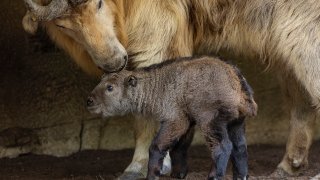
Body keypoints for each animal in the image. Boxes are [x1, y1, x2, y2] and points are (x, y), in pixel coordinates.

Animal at [86, 56, 256, 179]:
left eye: (110, 87)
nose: (89, 101)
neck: (159, 86)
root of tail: (237, 82)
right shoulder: (187, 122)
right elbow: (179, 148)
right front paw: (179, 174)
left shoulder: (175, 120)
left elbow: (157, 146)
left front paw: (152, 175)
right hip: (236, 123)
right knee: (240, 148)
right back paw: (241, 176)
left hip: (211, 122)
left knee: (222, 146)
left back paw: (214, 176)